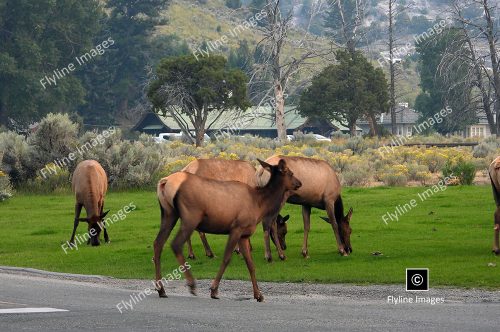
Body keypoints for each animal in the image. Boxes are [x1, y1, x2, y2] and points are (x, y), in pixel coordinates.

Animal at [152, 158, 300, 300]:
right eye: (290, 173)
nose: (299, 183)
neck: (259, 205)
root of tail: (164, 182)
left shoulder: (244, 235)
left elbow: (250, 264)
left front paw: (258, 295)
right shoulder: (237, 228)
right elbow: (227, 258)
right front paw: (214, 290)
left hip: (168, 213)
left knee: (158, 243)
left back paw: (161, 289)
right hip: (190, 215)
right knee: (176, 244)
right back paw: (191, 284)